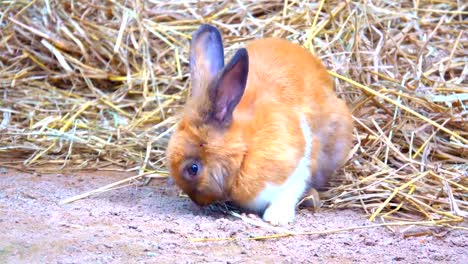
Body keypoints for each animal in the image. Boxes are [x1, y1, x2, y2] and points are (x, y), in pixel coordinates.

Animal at [166, 24, 352, 226]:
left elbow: (290, 191)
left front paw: (277, 218)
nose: (197, 202)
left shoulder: (297, 166)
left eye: (193, 169)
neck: (246, 148)